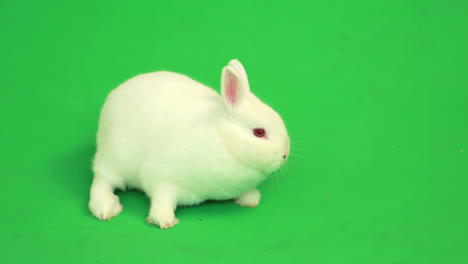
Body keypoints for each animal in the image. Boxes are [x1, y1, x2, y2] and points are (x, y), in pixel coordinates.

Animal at [88, 59, 288, 229]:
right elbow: (162, 198)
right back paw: (106, 208)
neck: (224, 141)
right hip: (114, 158)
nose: (284, 155)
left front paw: (251, 198)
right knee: (102, 181)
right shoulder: (162, 177)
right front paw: (164, 220)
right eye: (259, 132)